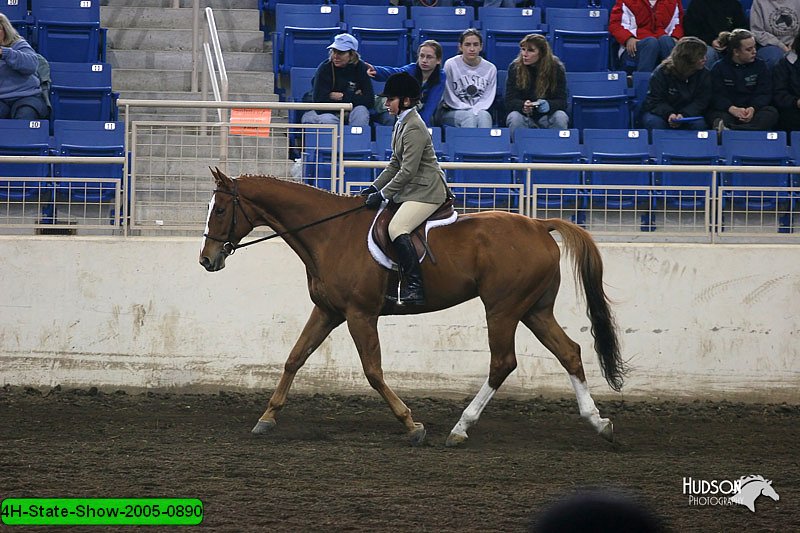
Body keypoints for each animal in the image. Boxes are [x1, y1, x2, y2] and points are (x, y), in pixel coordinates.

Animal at [198, 169, 624, 444]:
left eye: (219, 210)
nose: (206, 260)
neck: (329, 233)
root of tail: (540, 225)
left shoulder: (359, 315)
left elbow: (373, 371)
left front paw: (412, 425)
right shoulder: (328, 312)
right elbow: (293, 359)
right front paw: (267, 417)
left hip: (502, 309)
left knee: (503, 363)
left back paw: (460, 428)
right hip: (533, 309)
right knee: (569, 352)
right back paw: (598, 423)